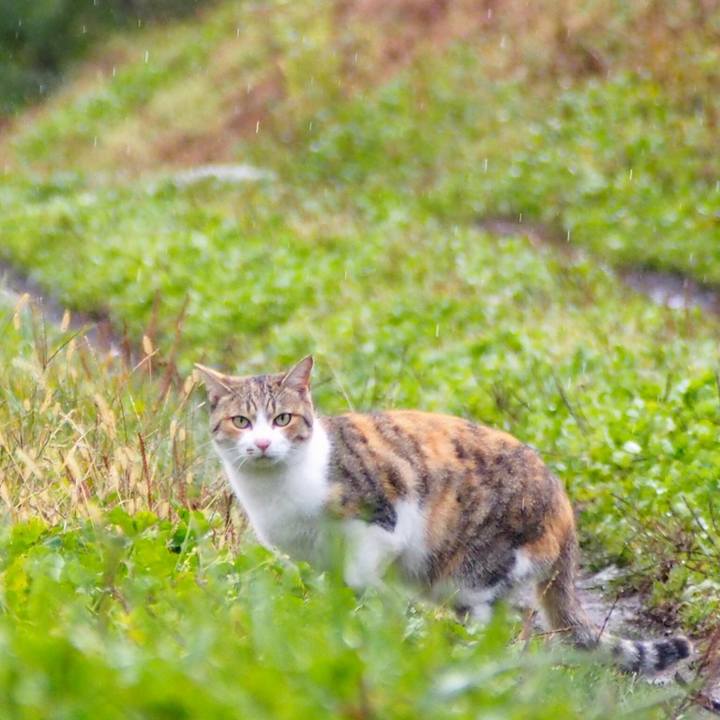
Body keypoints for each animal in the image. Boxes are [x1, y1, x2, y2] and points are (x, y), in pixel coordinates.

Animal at [195, 355, 691, 675]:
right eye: (241, 422)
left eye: (282, 419)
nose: (262, 444)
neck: (278, 488)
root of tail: (565, 507)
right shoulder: (317, 558)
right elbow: (334, 594)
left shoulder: (383, 521)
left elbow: (363, 573)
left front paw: (382, 612)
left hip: (473, 570)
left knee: (514, 615)